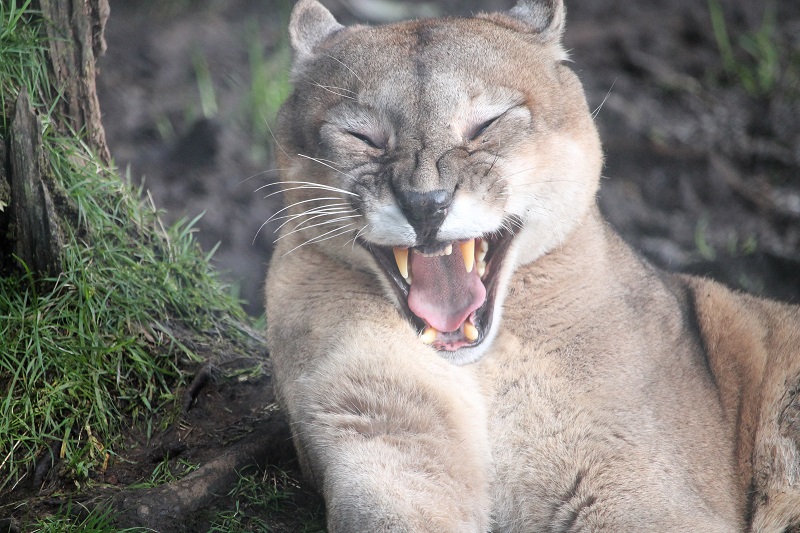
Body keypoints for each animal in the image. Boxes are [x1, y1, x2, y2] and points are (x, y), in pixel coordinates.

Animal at [264, 1, 800, 531]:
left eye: (487, 124)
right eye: (363, 136)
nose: (425, 204)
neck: (483, 367)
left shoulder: (632, 480)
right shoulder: (383, 436)